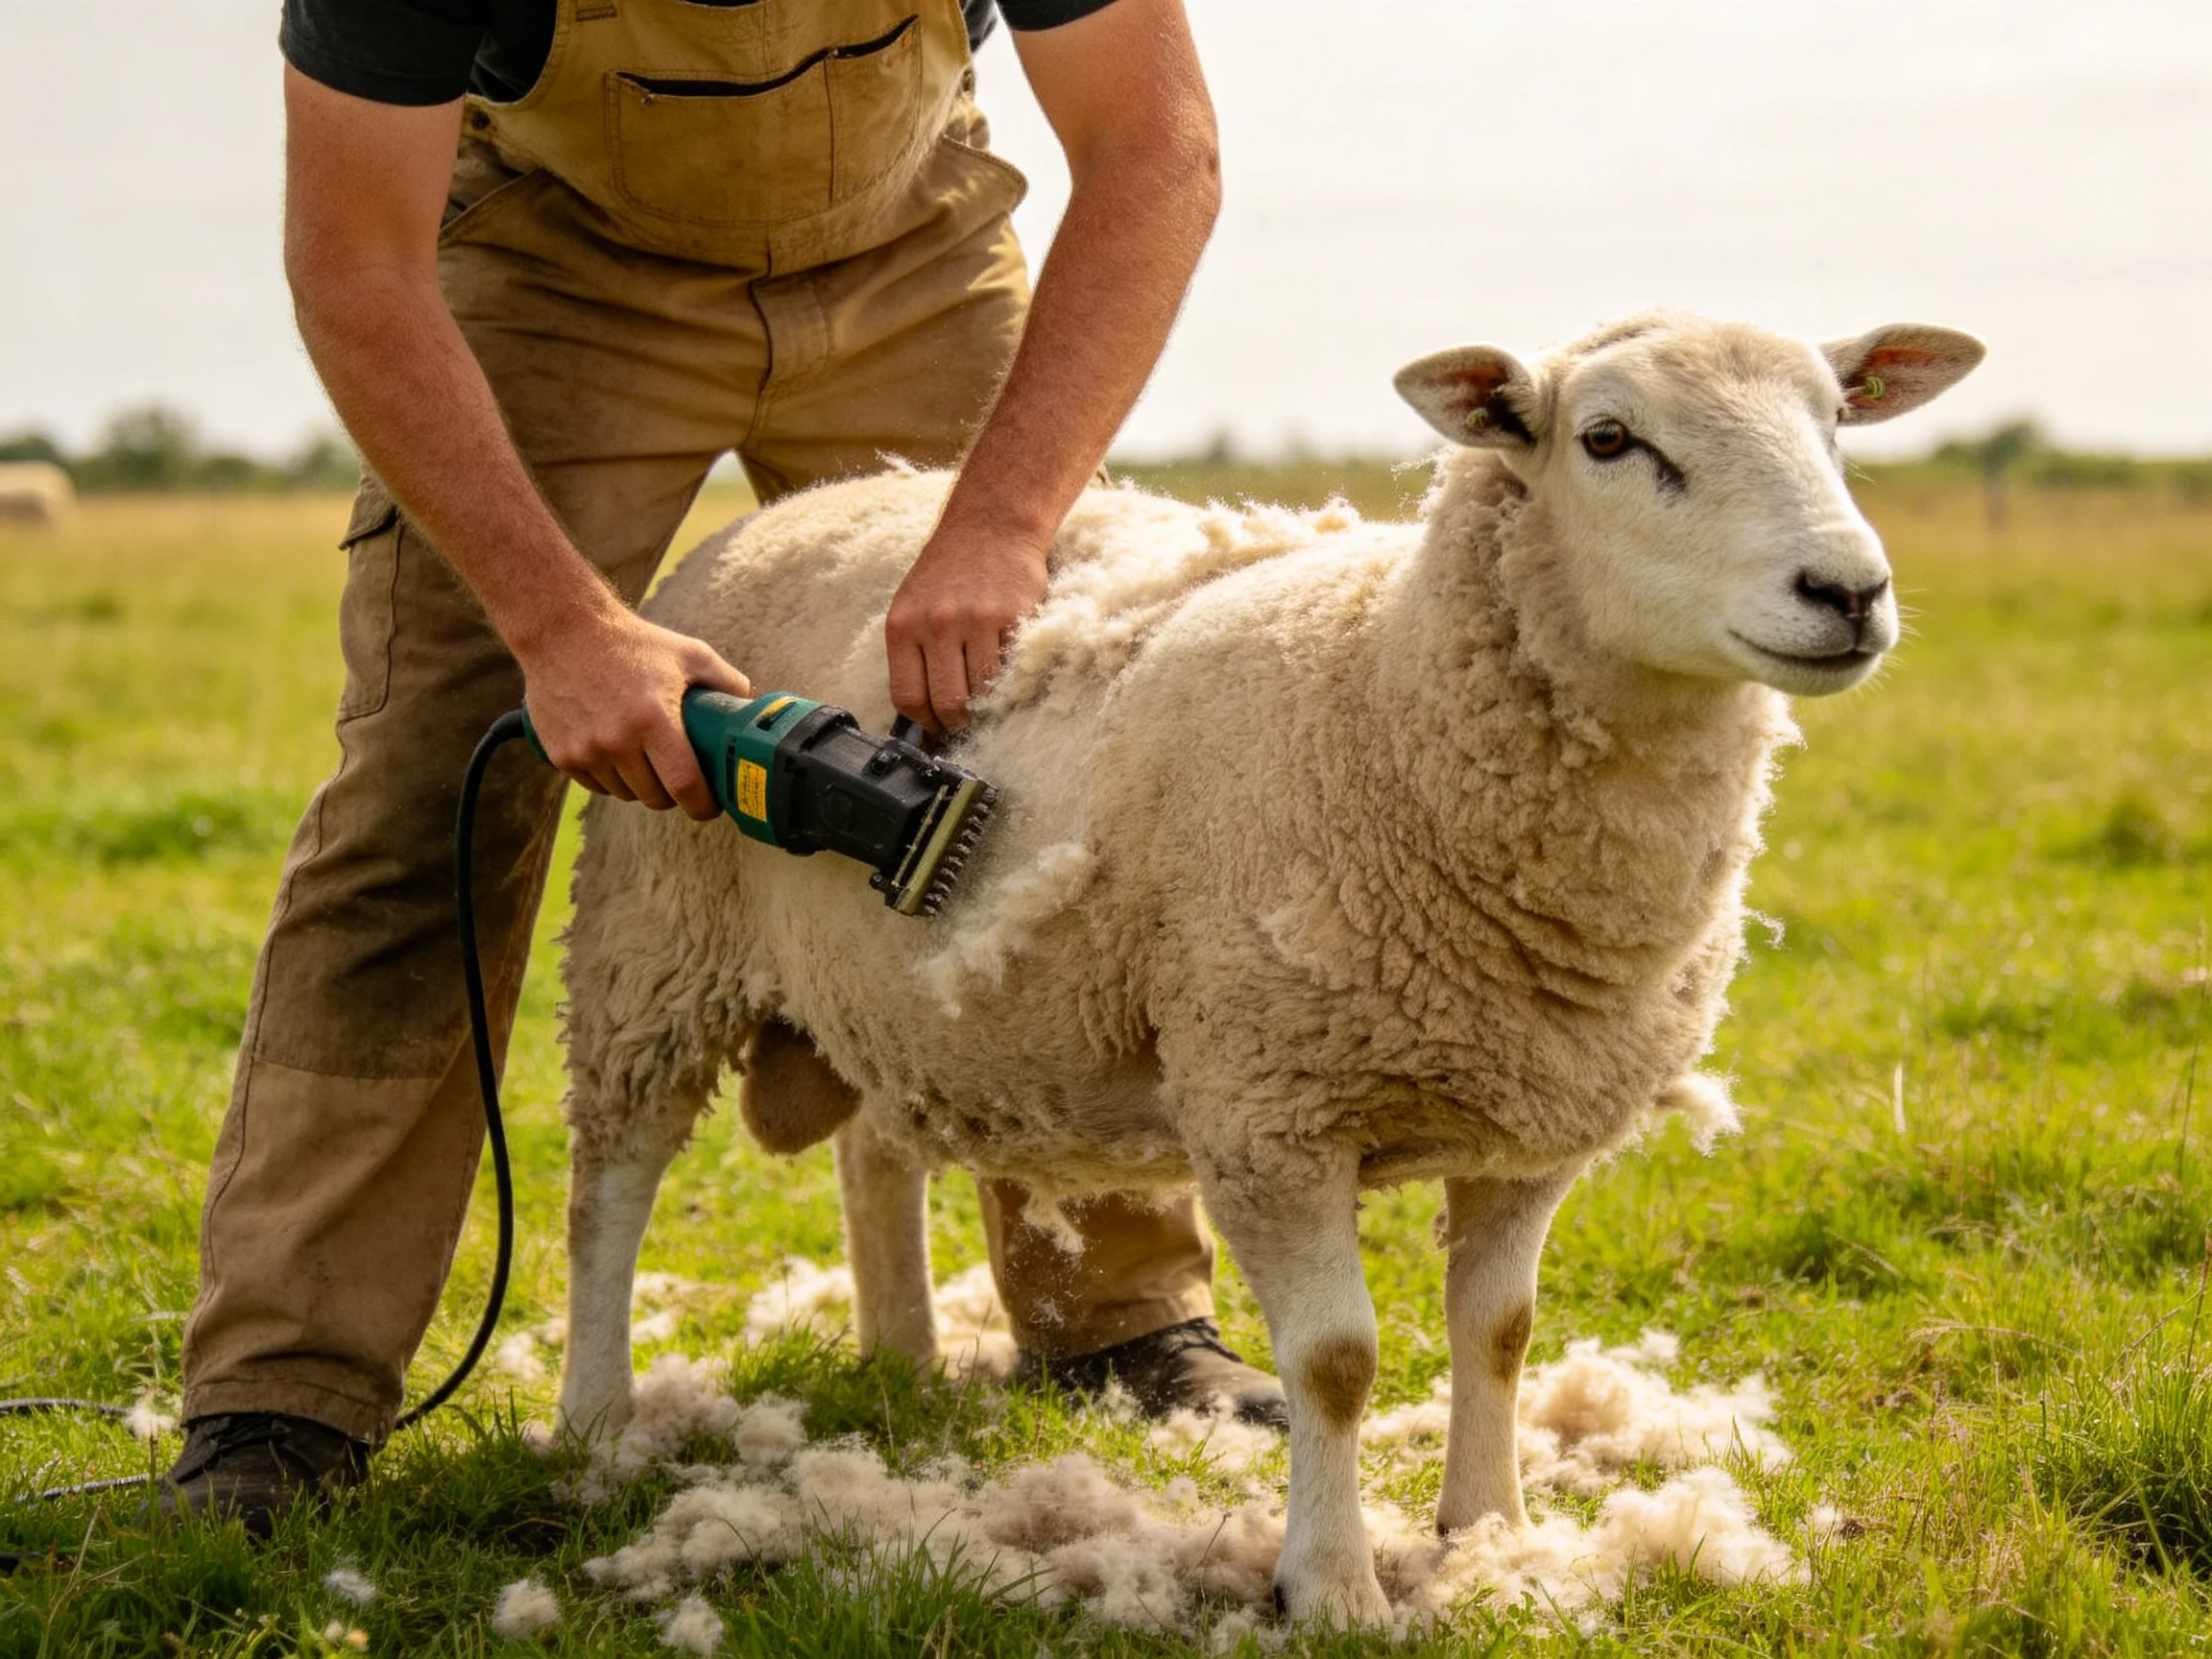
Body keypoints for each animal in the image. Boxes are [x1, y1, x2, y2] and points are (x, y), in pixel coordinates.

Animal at [552, 311, 1983, 1623]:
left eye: (1837, 423)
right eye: (1610, 440)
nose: (1848, 592)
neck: (1387, 694)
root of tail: (802, 507)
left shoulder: (1533, 1126)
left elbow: (1500, 1334)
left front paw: (1489, 1536)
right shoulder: (1267, 1107)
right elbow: (1338, 1362)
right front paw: (1333, 1587)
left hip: (874, 984)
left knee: (874, 1156)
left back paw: (900, 1364)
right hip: (647, 936)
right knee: (609, 1186)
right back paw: (593, 1422)